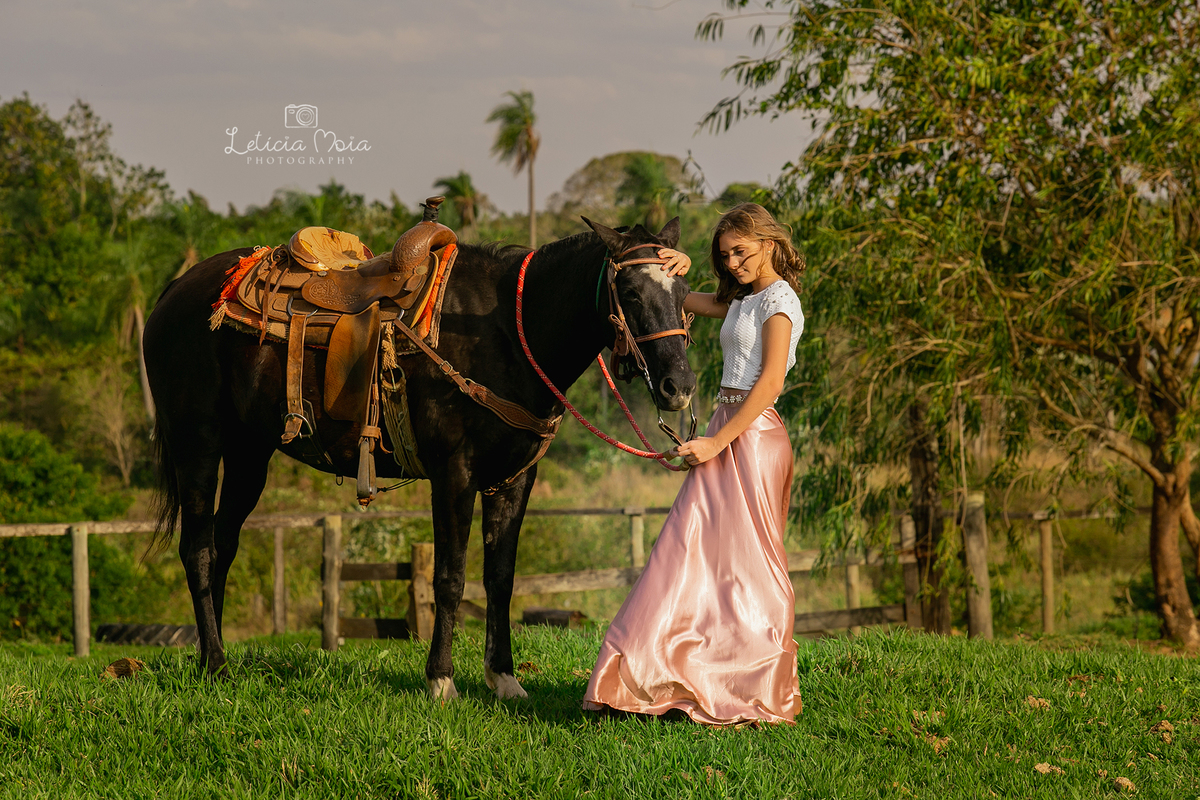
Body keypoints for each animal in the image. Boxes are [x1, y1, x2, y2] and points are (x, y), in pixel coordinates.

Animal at [143, 216, 697, 698]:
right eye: (630, 293)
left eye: (683, 294)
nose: (680, 386)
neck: (503, 333)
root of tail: (172, 294)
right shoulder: (454, 474)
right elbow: (449, 579)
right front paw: (441, 680)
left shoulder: (515, 479)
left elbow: (500, 578)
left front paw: (504, 678)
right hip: (197, 444)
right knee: (197, 549)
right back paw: (216, 664)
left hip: (248, 454)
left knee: (222, 546)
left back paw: (210, 656)